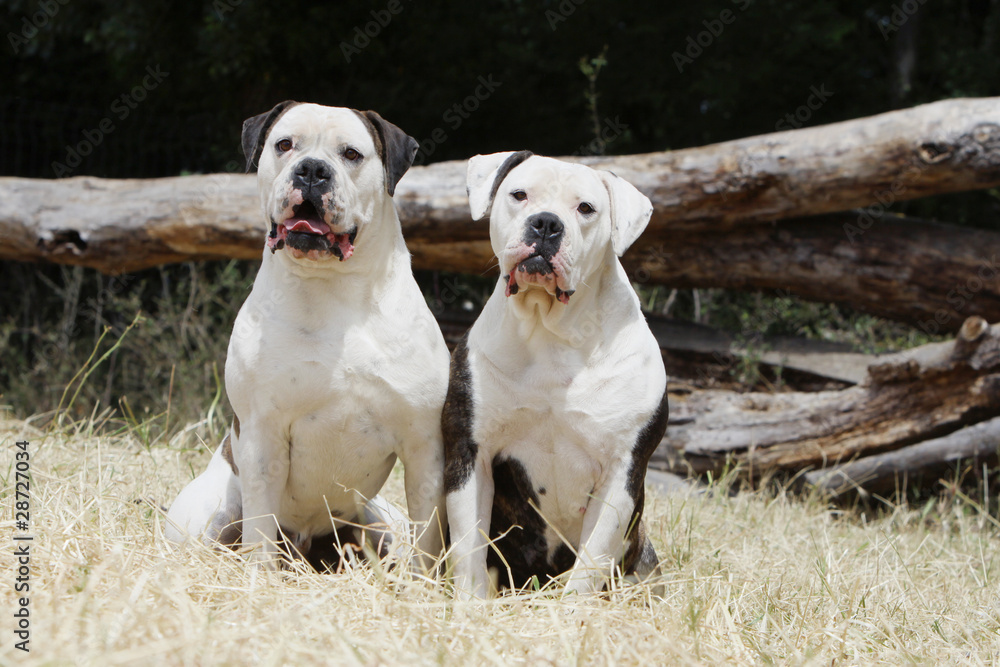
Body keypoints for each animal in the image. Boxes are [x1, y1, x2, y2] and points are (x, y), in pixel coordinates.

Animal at [167, 102, 450, 572]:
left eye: (351, 154)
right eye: (284, 145)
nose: (313, 170)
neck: (332, 288)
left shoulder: (423, 446)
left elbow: (427, 536)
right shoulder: (262, 435)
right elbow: (260, 530)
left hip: (378, 523)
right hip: (211, 515)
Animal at [444, 151, 664, 600]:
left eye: (586, 208)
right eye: (519, 194)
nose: (546, 223)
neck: (550, 331)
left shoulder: (622, 471)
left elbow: (590, 562)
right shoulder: (471, 454)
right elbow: (469, 548)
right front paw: (468, 606)